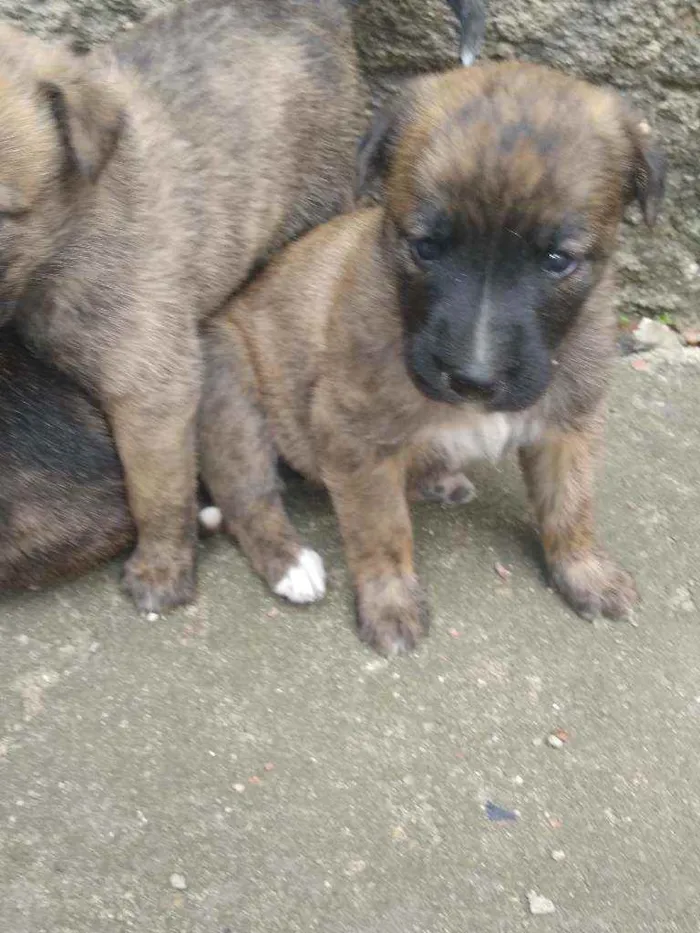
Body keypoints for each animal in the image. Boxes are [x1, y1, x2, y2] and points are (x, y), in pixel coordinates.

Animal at [196, 62, 660, 652]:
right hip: (231, 395)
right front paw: (390, 601)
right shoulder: (353, 433)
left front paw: (584, 571)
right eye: (426, 248)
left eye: (557, 260)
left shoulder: (570, 423)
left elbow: (571, 504)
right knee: (247, 499)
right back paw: (291, 564)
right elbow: (381, 526)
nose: (474, 380)